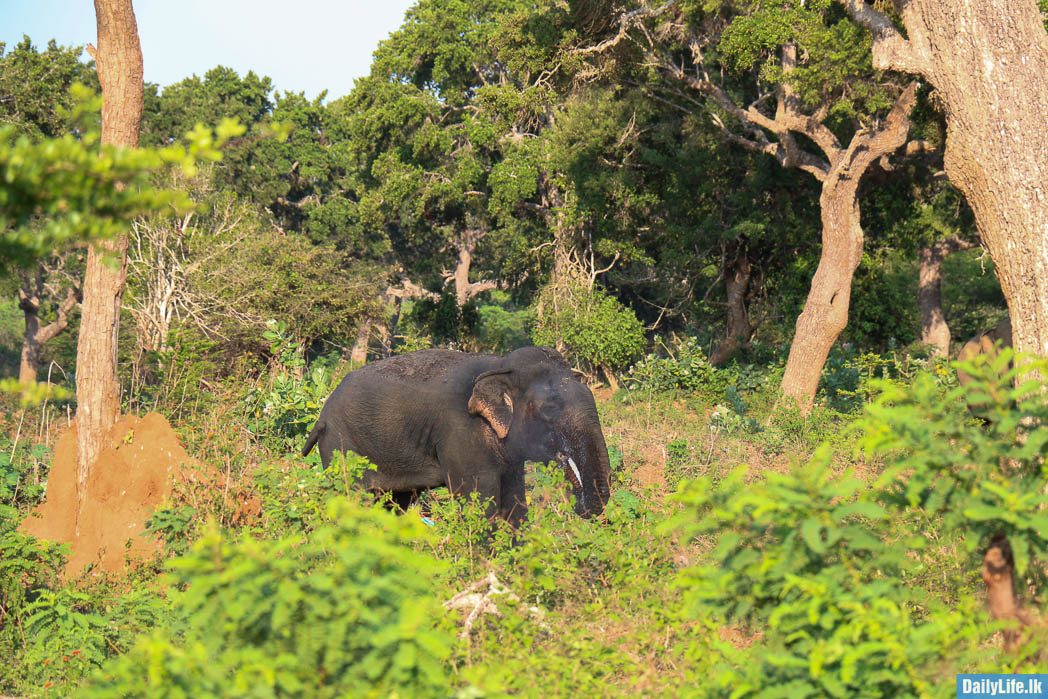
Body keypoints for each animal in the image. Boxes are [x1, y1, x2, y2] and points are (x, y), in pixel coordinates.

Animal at [301, 346, 612, 527]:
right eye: (549, 409)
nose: (580, 508)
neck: (501, 365)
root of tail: (321, 415)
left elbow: (514, 501)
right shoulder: (460, 431)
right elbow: (480, 501)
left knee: (395, 503)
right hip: (341, 447)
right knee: (353, 499)